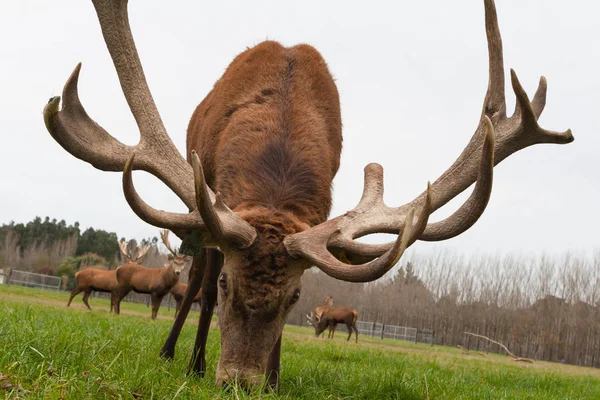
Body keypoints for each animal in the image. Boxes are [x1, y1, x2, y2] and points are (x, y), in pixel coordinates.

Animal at [43, 0, 572, 390]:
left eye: (294, 296)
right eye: (228, 283)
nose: (239, 380)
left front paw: (276, 379)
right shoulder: (210, 206)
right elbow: (202, 292)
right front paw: (196, 362)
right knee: (189, 287)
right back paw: (176, 353)